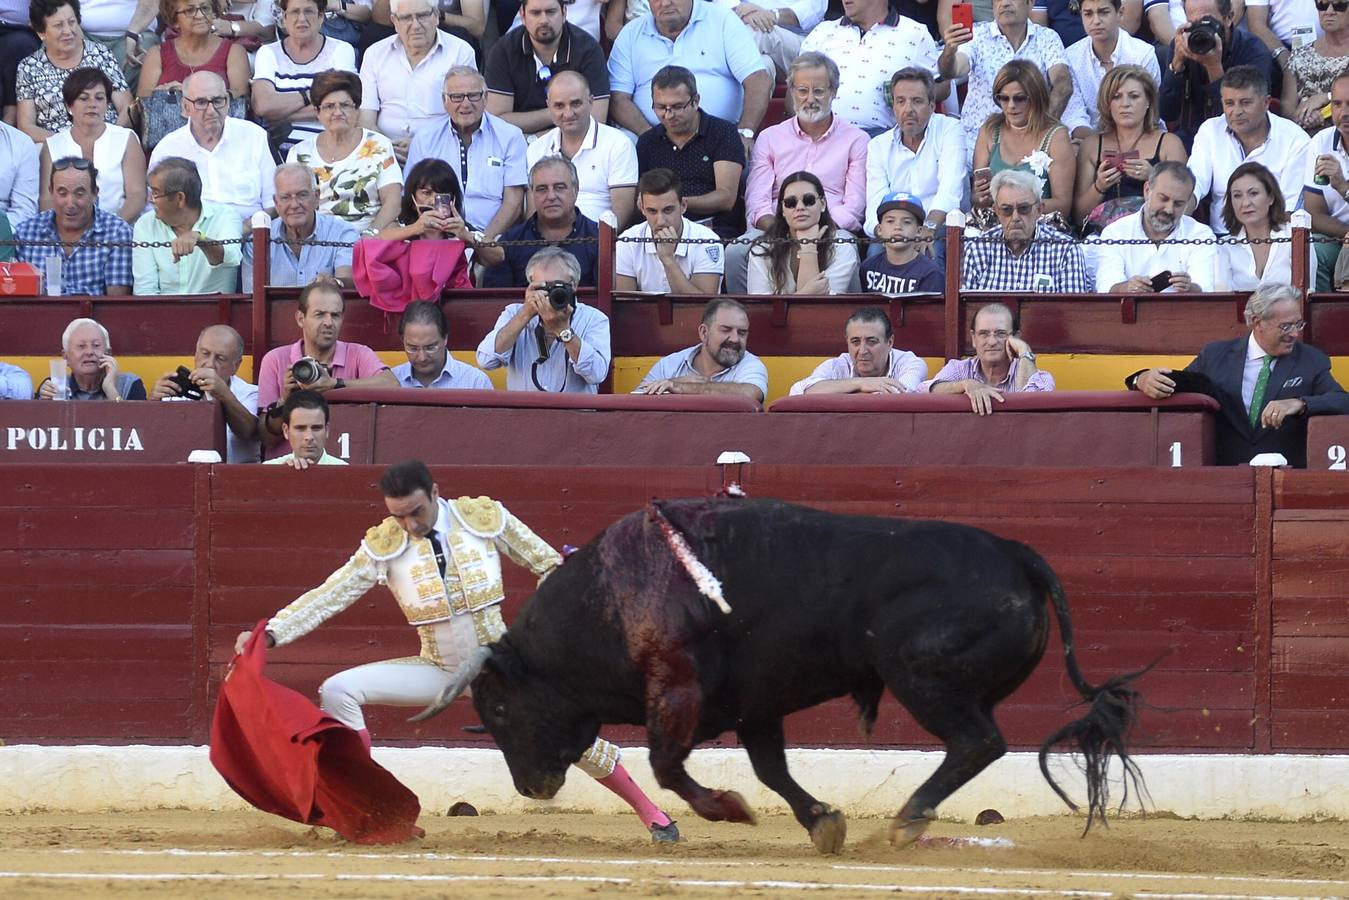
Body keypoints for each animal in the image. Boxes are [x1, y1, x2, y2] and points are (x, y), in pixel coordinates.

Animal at [412, 496, 1149, 858]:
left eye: (498, 711)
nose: (530, 788)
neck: (608, 600)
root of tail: (1015, 551)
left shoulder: (675, 688)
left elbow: (666, 764)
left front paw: (729, 811)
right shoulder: (755, 704)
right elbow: (770, 769)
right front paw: (822, 823)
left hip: (921, 677)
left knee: (978, 742)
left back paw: (907, 821)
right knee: (978, 743)